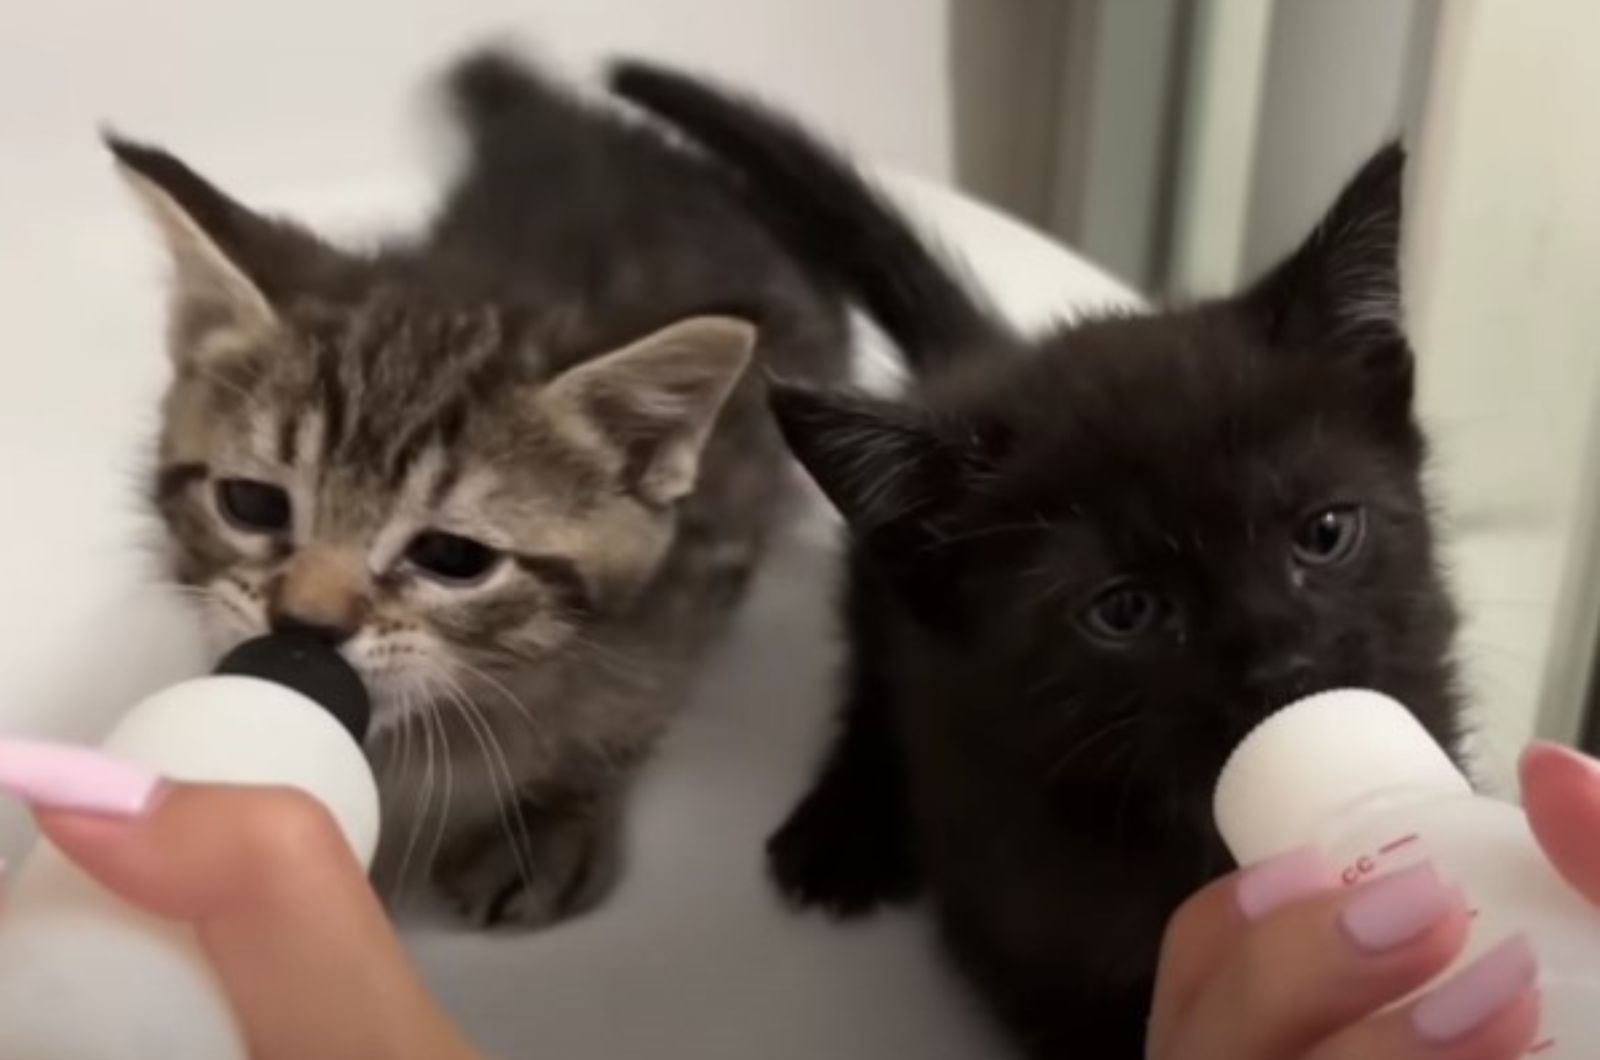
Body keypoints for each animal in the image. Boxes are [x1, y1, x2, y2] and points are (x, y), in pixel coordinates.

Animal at [121, 52, 851, 928]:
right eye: (253, 505)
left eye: (451, 556)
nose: (303, 626)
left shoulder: (705, 567)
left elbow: (634, 707)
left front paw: (546, 816)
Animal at [608, 64, 1465, 1056]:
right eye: (1125, 611)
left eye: (1324, 535)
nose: (1282, 664)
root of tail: (989, 360)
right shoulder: (1025, 934)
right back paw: (843, 825)